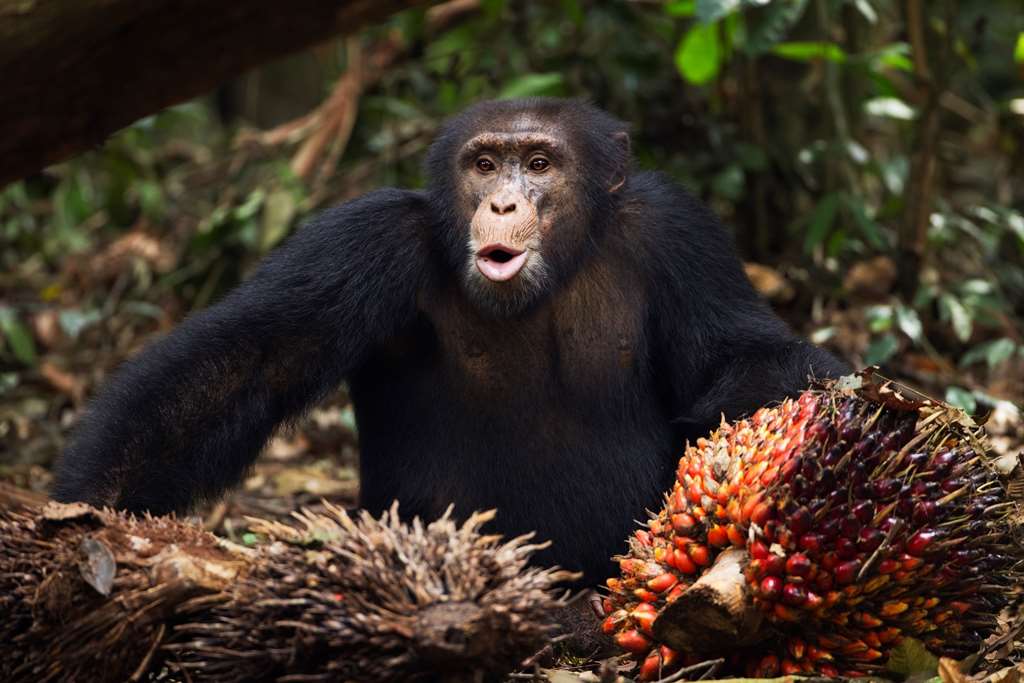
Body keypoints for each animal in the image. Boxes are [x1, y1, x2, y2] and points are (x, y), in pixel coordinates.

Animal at [49, 98, 847, 585]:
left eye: (540, 164)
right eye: (485, 164)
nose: (504, 202)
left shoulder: (679, 232)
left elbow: (743, 350)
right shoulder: (364, 239)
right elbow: (250, 357)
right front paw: (90, 513)